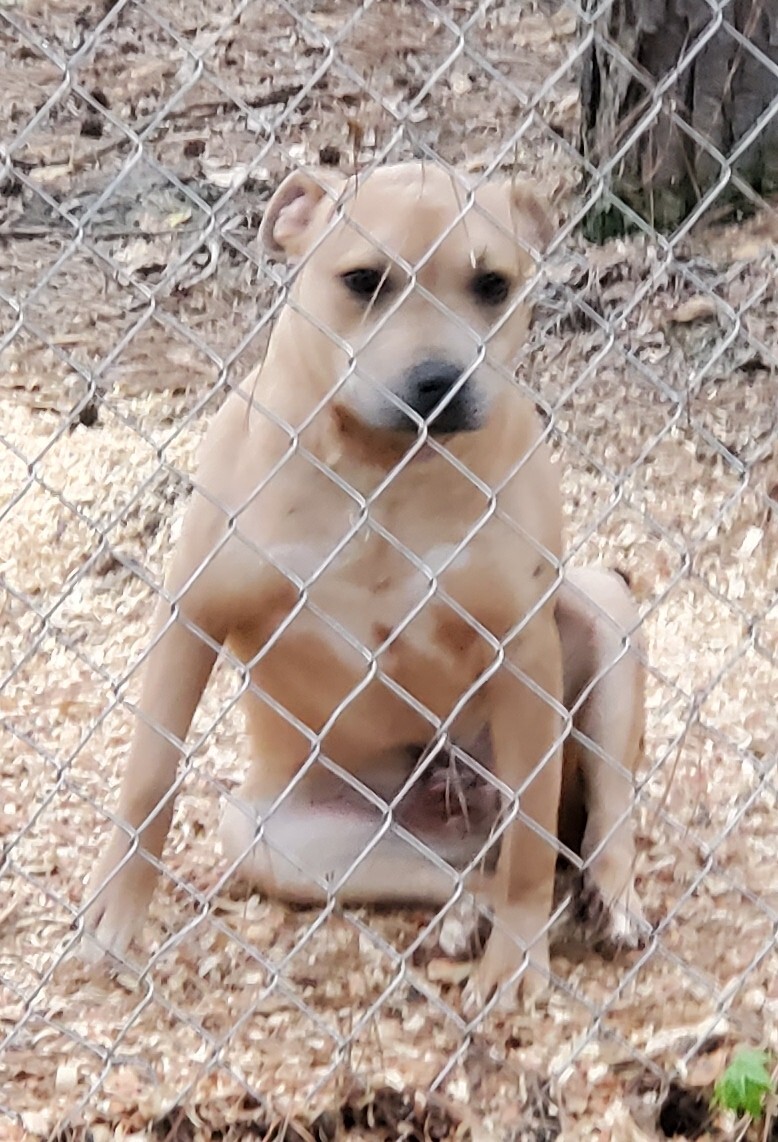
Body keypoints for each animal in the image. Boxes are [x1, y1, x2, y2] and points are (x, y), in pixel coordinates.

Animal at [81, 163, 644, 1009]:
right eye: (362, 281)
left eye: (492, 284)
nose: (441, 380)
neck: (384, 469)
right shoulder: (191, 616)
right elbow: (148, 780)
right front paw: (116, 916)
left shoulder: (522, 653)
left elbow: (533, 837)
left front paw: (515, 961)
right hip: (281, 839)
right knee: (455, 872)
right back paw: (466, 912)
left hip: (604, 606)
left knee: (584, 818)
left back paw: (604, 895)